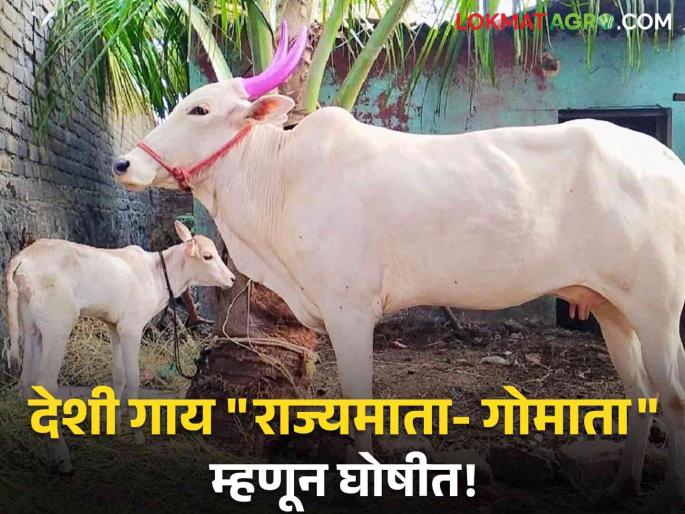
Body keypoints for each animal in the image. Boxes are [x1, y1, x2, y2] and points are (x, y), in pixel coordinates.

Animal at [5, 221, 235, 473]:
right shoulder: (131, 328)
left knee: (28, 381)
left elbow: (119, 376)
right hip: (57, 326)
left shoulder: (115, 327)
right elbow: (133, 378)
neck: (156, 274)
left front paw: (114, 430)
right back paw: (63, 459)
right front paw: (138, 436)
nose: (232, 278)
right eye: (207, 256)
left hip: (32, 327)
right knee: (45, 384)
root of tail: (23, 258)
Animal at [112, 22, 685, 508]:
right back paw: (621, 486)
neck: (280, 175)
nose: (123, 163)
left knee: (672, 397)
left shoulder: (350, 311)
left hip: (656, 309)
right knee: (640, 394)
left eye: (200, 110)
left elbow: (358, 401)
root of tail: (664, 159)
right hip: (611, 307)